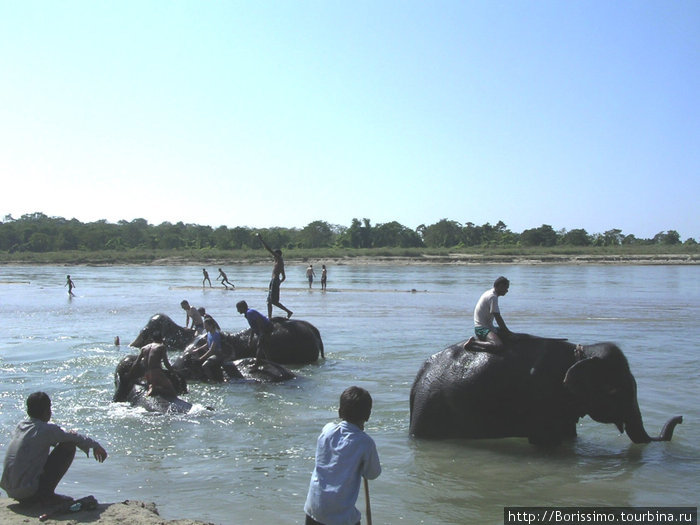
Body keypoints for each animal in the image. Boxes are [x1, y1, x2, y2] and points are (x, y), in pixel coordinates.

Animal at [410, 336, 684, 446]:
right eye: (614, 391)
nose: (681, 417)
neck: (582, 352)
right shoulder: (543, 396)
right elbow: (546, 441)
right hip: (432, 410)